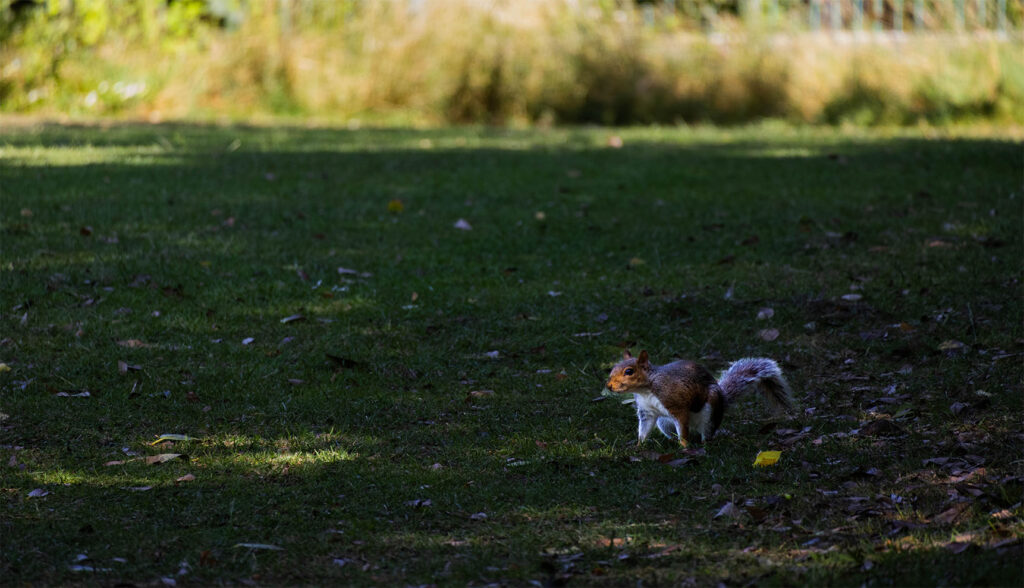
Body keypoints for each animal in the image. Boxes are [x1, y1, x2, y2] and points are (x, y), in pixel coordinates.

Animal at [605, 350, 794, 447]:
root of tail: (722, 401)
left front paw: (684, 447)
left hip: (709, 412)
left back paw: (703, 444)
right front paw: (639, 446)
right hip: (664, 422)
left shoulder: (676, 404)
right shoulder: (647, 412)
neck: (647, 388)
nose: (609, 386)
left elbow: (682, 427)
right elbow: (644, 429)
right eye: (613, 368)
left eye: (629, 371)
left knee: (706, 432)